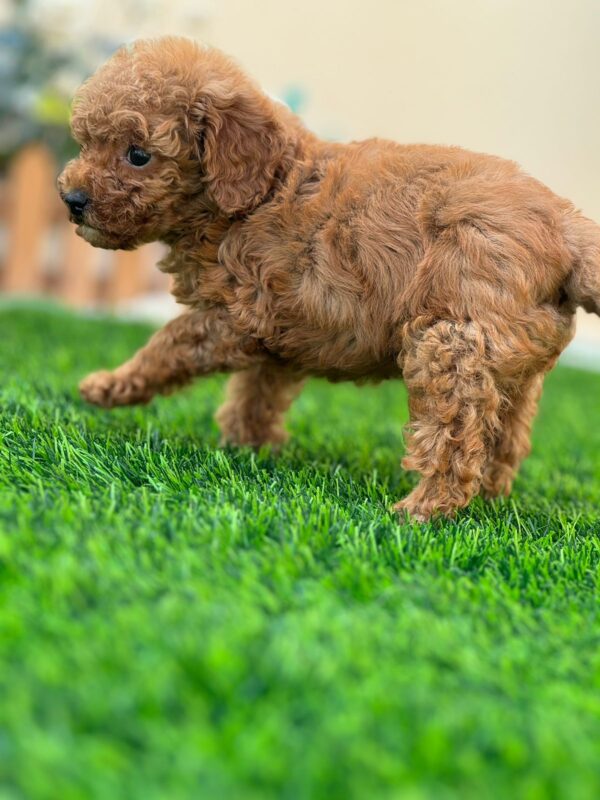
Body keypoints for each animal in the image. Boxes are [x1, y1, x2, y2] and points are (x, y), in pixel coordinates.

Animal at [58, 37, 600, 520]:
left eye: (138, 155)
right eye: (85, 143)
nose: (72, 200)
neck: (261, 188)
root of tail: (568, 228)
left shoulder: (238, 317)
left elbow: (168, 343)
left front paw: (110, 385)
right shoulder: (276, 330)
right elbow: (256, 391)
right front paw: (247, 446)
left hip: (451, 341)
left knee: (459, 431)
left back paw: (425, 509)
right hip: (513, 361)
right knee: (504, 436)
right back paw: (485, 501)